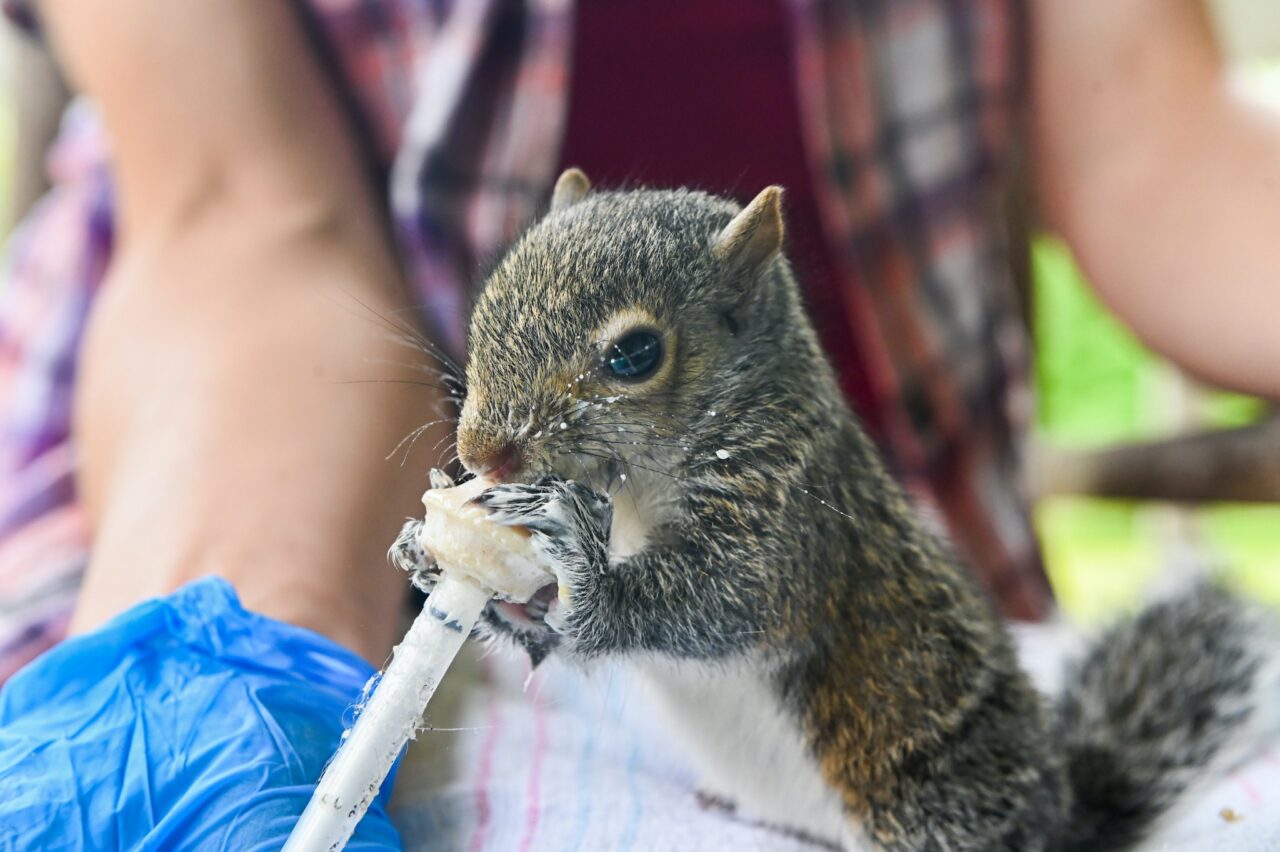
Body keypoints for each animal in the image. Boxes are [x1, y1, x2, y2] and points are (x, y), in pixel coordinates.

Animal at [391, 168, 1280, 851]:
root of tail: (1056, 812)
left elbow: (718, 601)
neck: (635, 490)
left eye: (635, 354)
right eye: (487, 300)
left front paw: (582, 566)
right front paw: (438, 563)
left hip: (929, 796)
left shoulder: (791, 515)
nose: (482, 454)